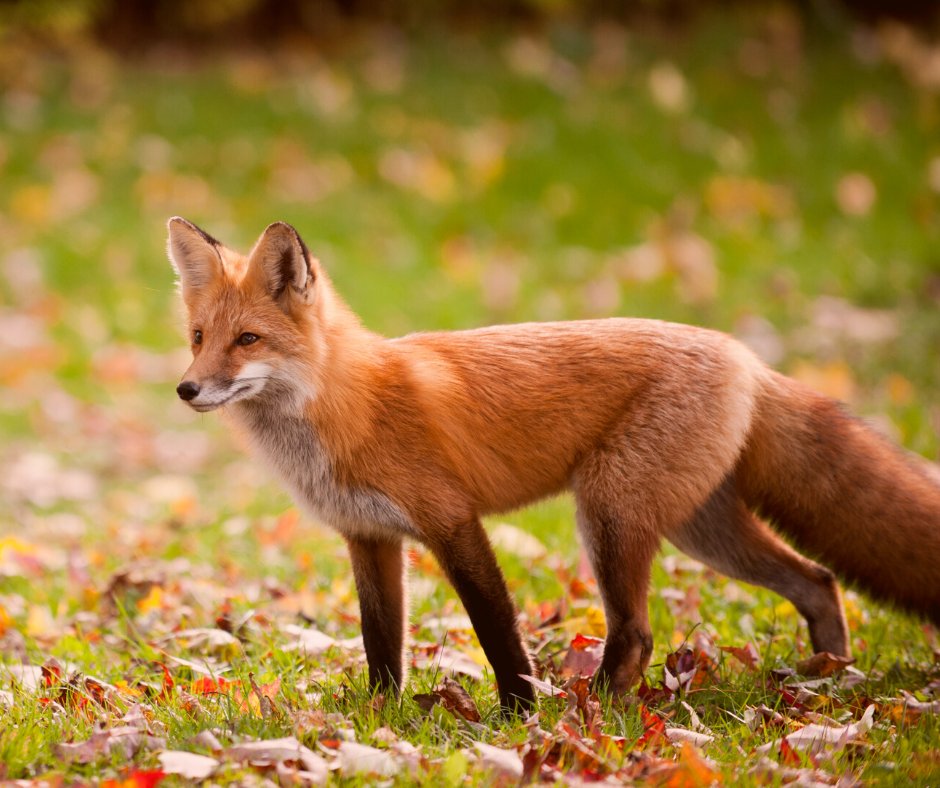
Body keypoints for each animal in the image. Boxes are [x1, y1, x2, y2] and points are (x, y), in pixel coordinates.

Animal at [167, 216, 940, 713]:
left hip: (609, 514)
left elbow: (496, 630)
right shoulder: (370, 537)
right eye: (199, 337)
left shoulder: (452, 522)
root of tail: (744, 356)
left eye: (247, 340)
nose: (187, 389)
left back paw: (589, 713)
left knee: (638, 632)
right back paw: (827, 675)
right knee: (818, 580)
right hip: (700, 530)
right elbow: (380, 641)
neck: (343, 405)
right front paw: (378, 718)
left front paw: (517, 713)